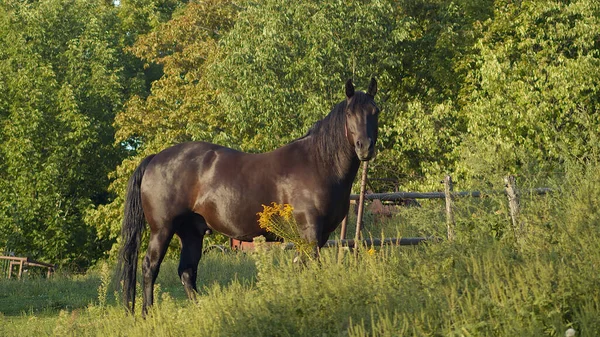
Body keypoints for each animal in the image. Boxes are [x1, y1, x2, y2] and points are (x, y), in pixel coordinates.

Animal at [118, 77, 380, 314]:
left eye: (375, 111)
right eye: (350, 114)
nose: (365, 147)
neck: (318, 163)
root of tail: (155, 158)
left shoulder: (319, 236)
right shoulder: (310, 233)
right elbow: (311, 267)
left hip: (191, 232)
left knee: (187, 271)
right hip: (162, 229)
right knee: (149, 267)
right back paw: (147, 314)